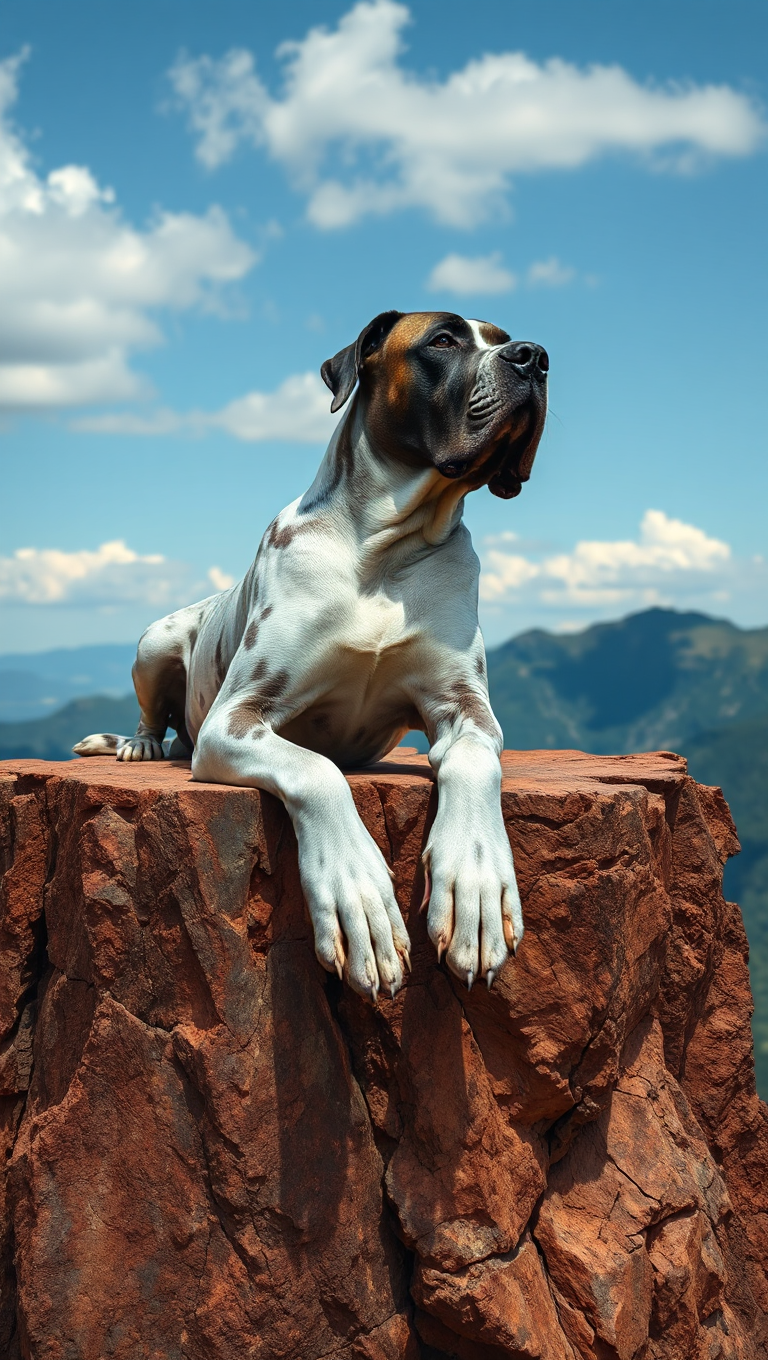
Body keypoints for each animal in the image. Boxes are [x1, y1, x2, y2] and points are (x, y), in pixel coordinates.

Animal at [74, 312, 543, 1006]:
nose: (534, 357)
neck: (386, 549)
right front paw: (360, 899)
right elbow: (318, 769)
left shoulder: (465, 707)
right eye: (443, 340)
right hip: (156, 642)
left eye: (504, 337)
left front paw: (476, 886)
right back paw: (142, 744)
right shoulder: (235, 720)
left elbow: (474, 762)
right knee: (156, 716)